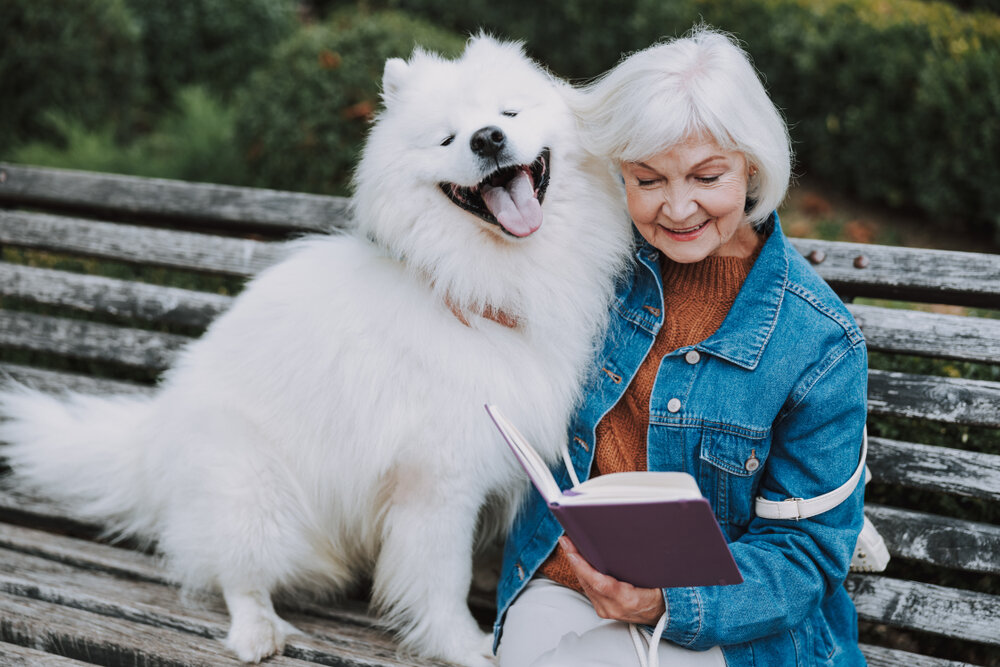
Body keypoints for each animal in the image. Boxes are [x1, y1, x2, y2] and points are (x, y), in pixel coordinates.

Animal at [0, 37, 632, 667]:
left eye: (509, 113)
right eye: (448, 139)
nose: (488, 139)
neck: (480, 286)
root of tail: (152, 438)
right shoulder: (439, 480)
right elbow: (441, 579)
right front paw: (465, 647)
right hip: (254, 492)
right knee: (237, 576)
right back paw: (258, 631)